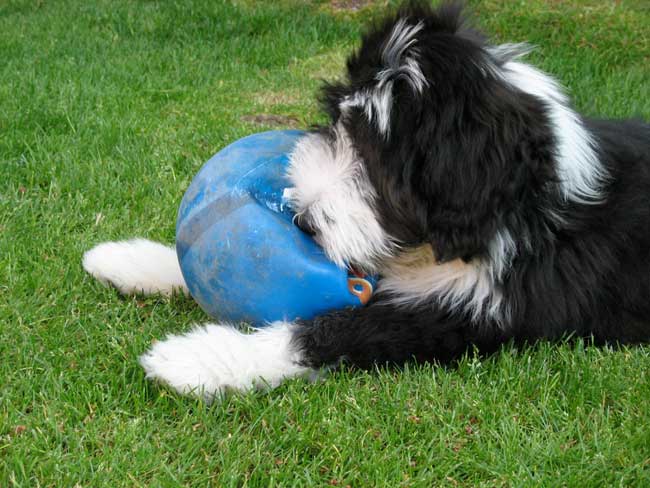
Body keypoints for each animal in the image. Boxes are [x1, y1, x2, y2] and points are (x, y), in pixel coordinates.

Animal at [82, 0, 648, 400]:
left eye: (380, 168)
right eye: (339, 126)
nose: (305, 219)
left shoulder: (477, 317)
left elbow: (333, 330)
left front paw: (197, 359)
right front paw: (131, 260)